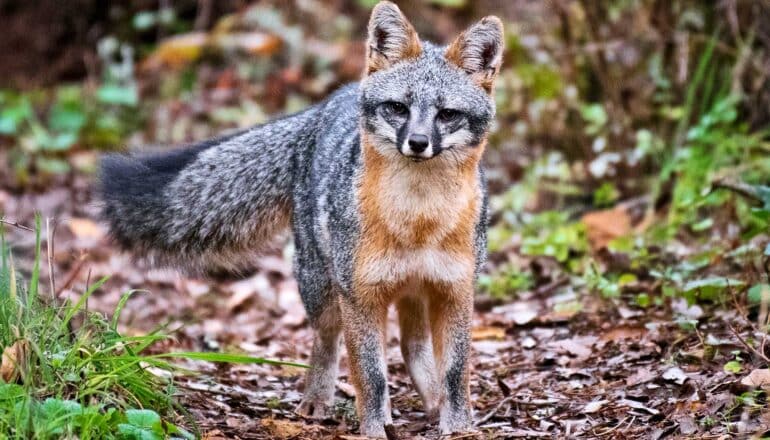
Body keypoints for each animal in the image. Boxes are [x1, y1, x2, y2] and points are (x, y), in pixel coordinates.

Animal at [99, 1, 500, 436]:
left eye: (447, 115)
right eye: (398, 109)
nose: (418, 142)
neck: (418, 222)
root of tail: (330, 101)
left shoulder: (455, 291)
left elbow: (456, 372)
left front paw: (458, 426)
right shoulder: (360, 296)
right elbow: (371, 375)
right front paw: (374, 430)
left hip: (412, 289)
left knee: (412, 347)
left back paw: (431, 402)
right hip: (322, 288)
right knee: (329, 342)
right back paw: (318, 400)